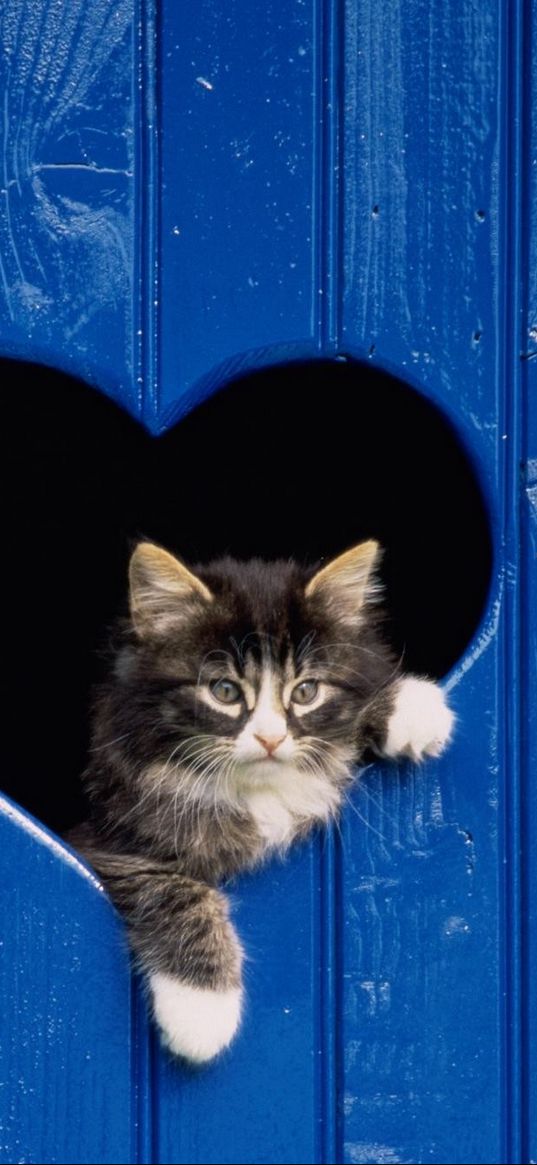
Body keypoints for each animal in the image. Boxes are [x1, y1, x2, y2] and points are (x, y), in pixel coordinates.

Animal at [66, 538, 451, 1067]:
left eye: (305, 691)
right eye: (224, 691)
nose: (270, 738)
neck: (253, 789)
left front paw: (410, 705)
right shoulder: (105, 839)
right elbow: (174, 889)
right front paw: (200, 1009)